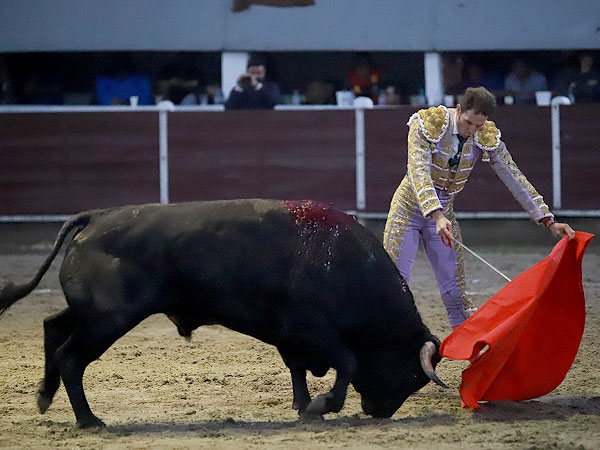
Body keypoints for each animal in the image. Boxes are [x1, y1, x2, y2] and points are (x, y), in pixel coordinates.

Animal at [0, 199, 446, 428]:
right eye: (412, 375)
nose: (379, 412)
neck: (347, 266)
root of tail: (96, 217)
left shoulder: (291, 336)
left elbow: (298, 369)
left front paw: (303, 407)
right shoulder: (313, 330)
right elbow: (347, 362)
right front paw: (321, 406)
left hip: (93, 315)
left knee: (53, 327)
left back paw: (44, 397)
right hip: (108, 320)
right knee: (70, 357)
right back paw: (89, 420)